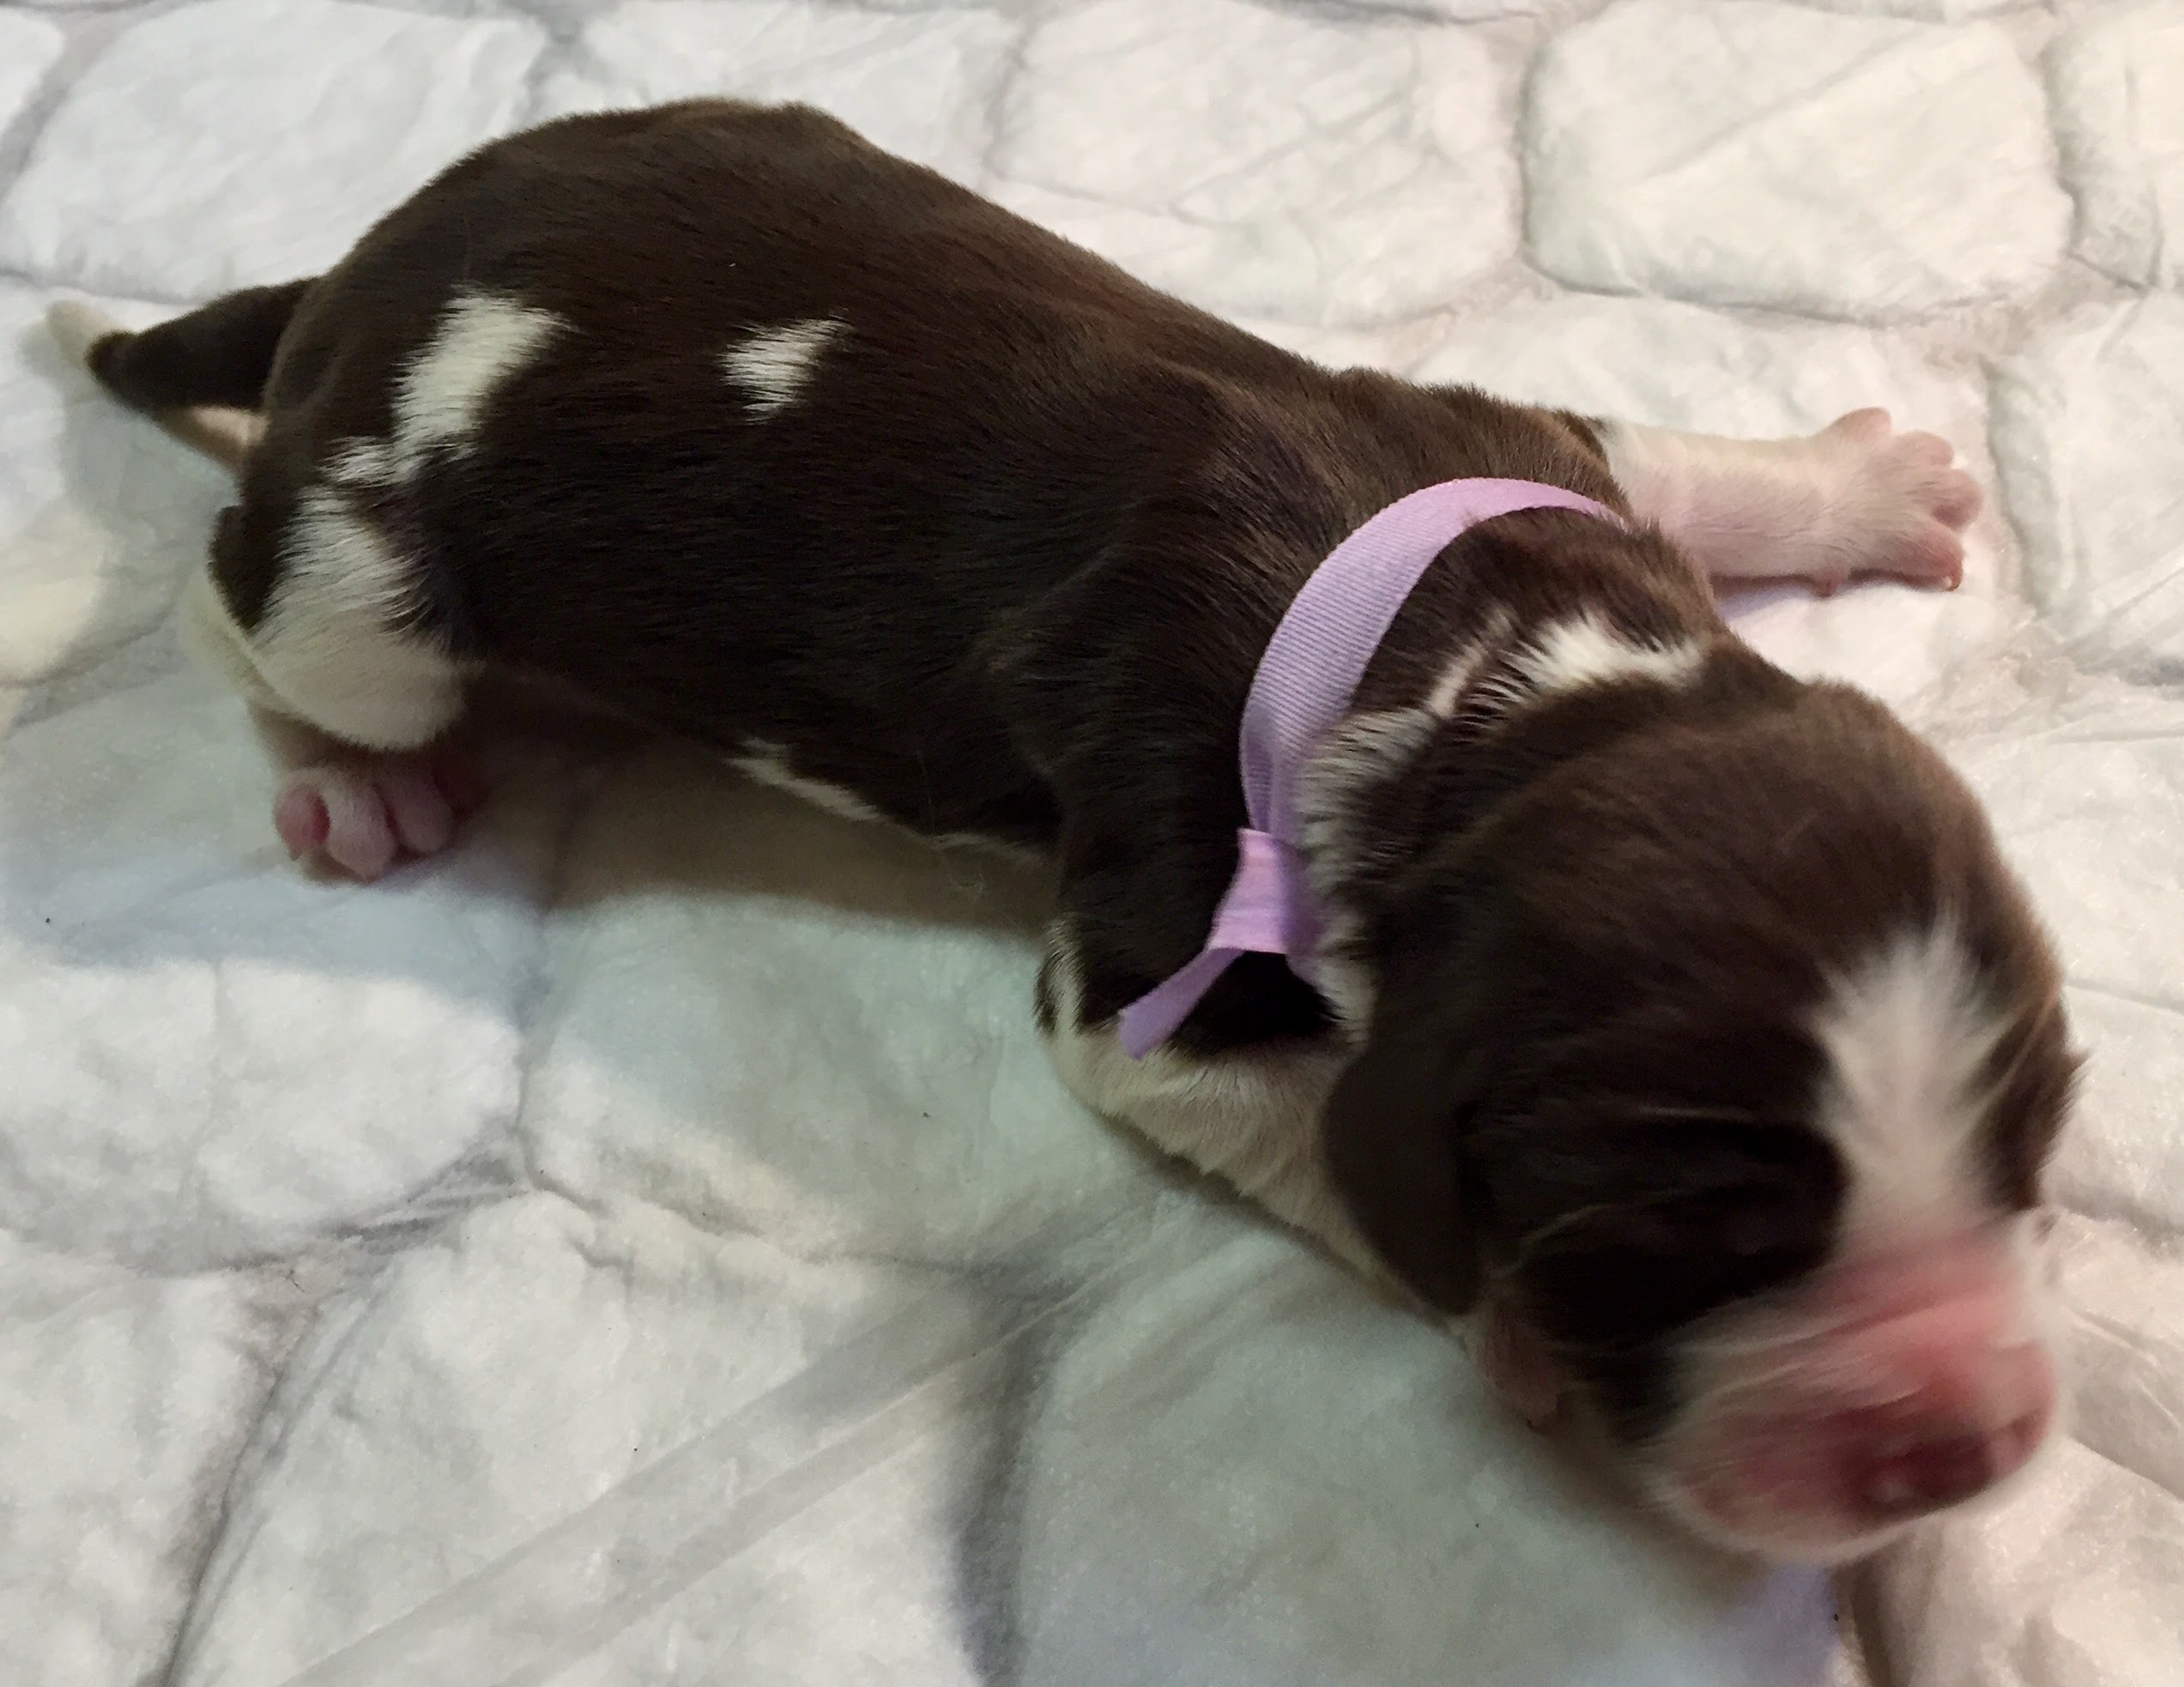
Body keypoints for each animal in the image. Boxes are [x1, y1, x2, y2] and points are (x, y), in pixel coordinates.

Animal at [55, 99, 2080, 1562]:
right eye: (1684, 1242)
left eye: (2032, 1131)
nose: (1966, 1443)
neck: (1501, 676)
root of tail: (350, 288)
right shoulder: (1153, 940)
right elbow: (1284, 1116)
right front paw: (1510, 1326)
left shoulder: (1518, 441)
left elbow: (1673, 454)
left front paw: (1852, 481)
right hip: (364, 593)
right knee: (230, 605)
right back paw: (344, 771)